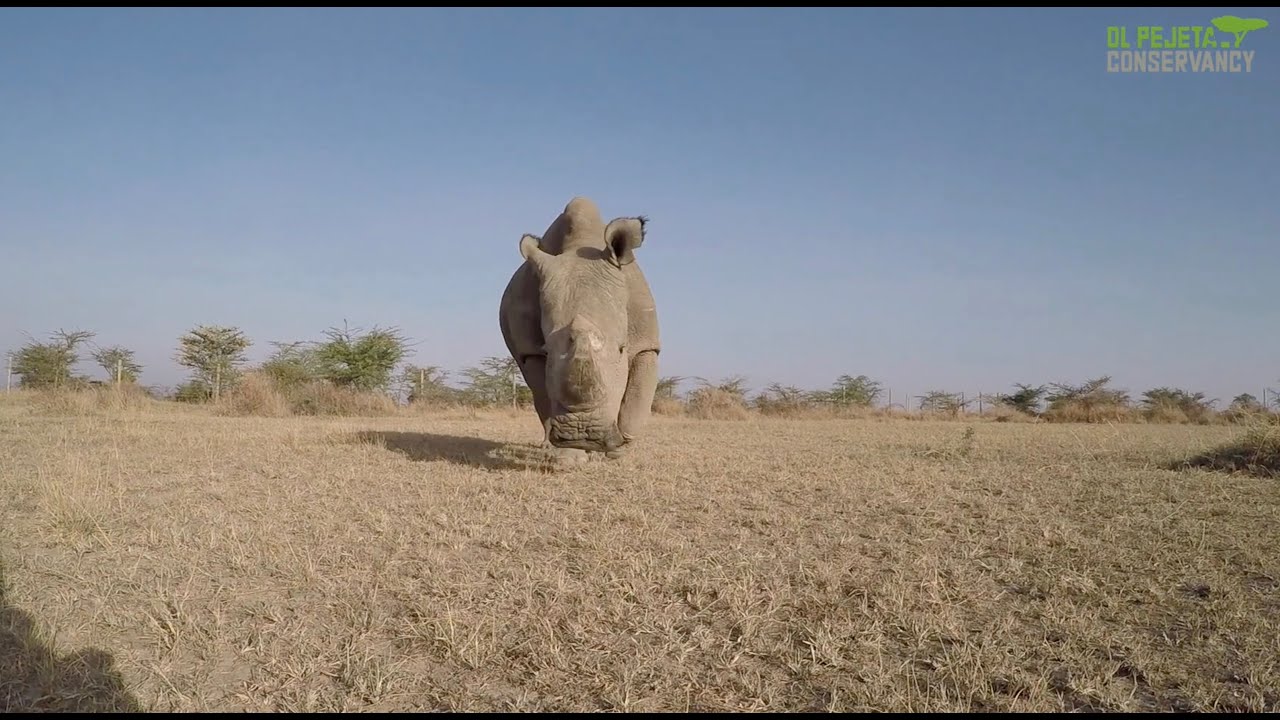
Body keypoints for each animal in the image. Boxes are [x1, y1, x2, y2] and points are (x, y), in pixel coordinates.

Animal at [499, 197, 660, 459]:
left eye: (622, 349)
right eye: (546, 351)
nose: (583, 434)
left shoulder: (647, 342)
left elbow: (637, 397)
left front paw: (619, 449)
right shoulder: (530, 349)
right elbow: (544, 391)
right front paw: (571, 455)